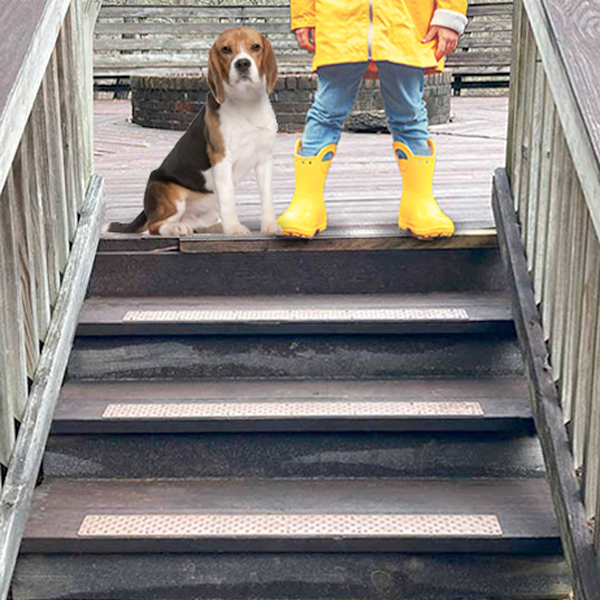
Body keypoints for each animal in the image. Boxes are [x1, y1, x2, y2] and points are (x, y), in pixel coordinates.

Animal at [107, 27, 282, 237]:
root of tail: (148, 208)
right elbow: (229, 199)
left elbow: (267, 198)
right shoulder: (221, 158)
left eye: (255, 47)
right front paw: (234, 228)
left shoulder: (265, 159)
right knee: (154, 226)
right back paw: (178, 227)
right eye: (226, 49)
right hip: (173, 196)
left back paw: (216, 226)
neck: (246, 103)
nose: (242, 63)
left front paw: (270, 226)